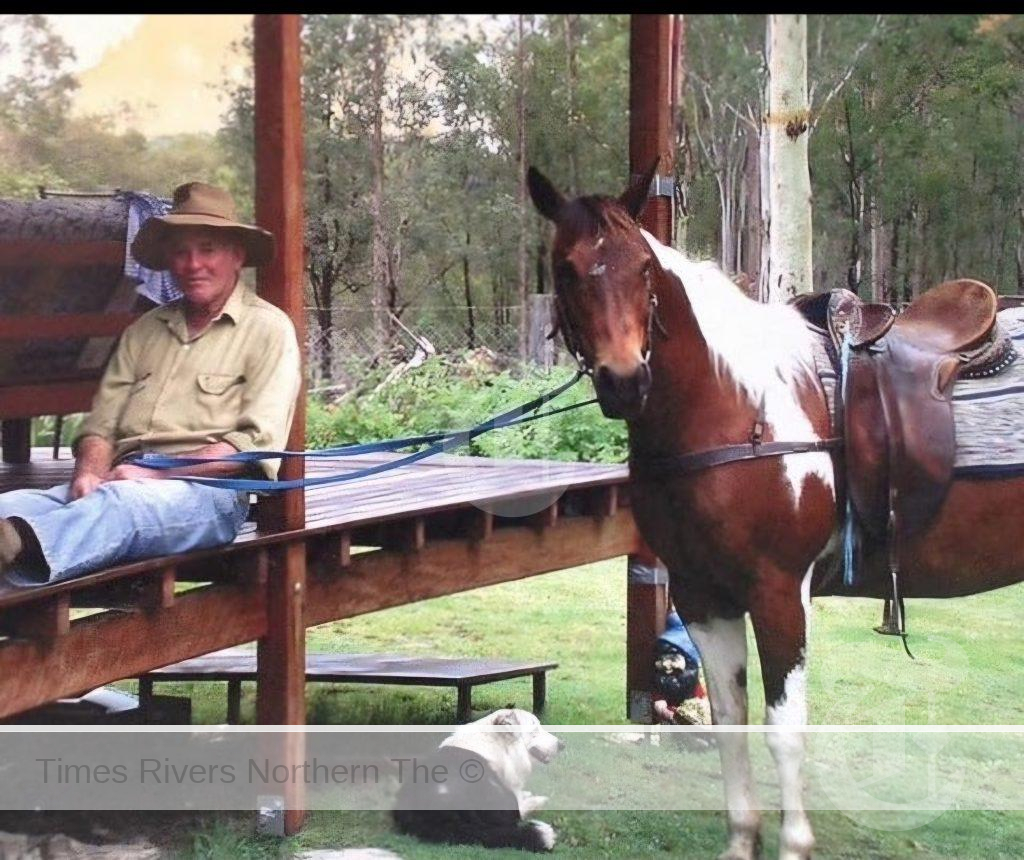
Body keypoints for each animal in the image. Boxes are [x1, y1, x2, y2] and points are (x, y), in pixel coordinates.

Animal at [528, 162, 1024, 860]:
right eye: (566, 267)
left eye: (644, 268)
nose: (626, 380)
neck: (736, 404)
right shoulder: (702, 596)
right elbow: (729, 720)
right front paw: (743, 841)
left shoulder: (779, 591)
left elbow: (783, 728)